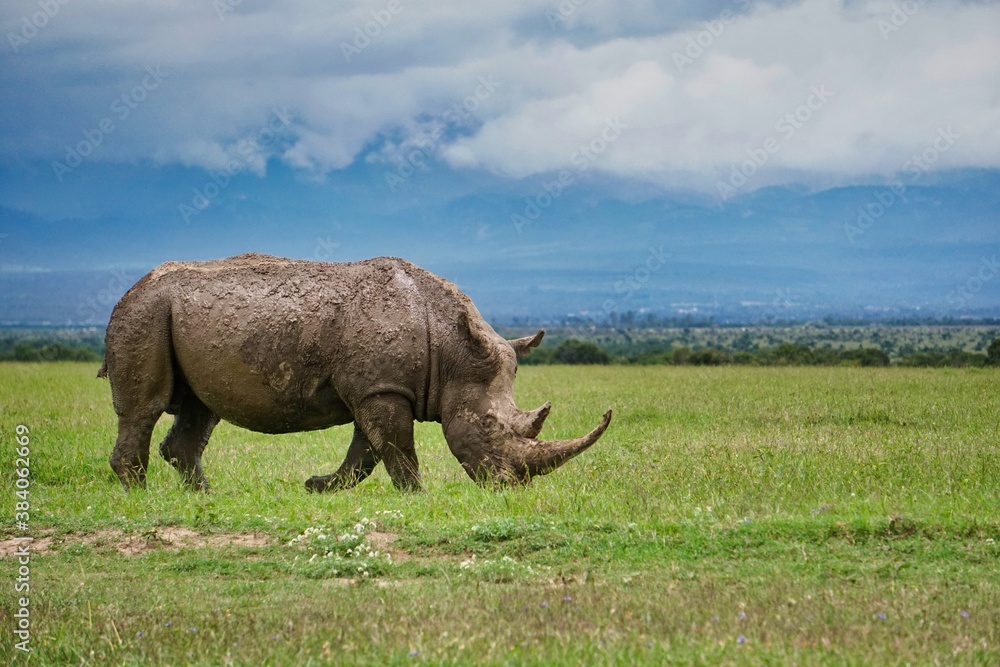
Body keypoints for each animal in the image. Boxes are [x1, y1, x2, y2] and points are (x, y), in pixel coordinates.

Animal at [100, 253, 611, 492]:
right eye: (488, 425)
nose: (508, 487)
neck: (452, 349)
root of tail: (131, 288)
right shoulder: (381, 390)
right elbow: (397, 450)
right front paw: (418, 497)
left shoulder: (378, 388)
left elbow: (367, 452)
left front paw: (318, 487)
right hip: (143, 312)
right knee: (144, 409)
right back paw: (143, 498)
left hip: (171, 317)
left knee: (202, 407)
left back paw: (206, 498)